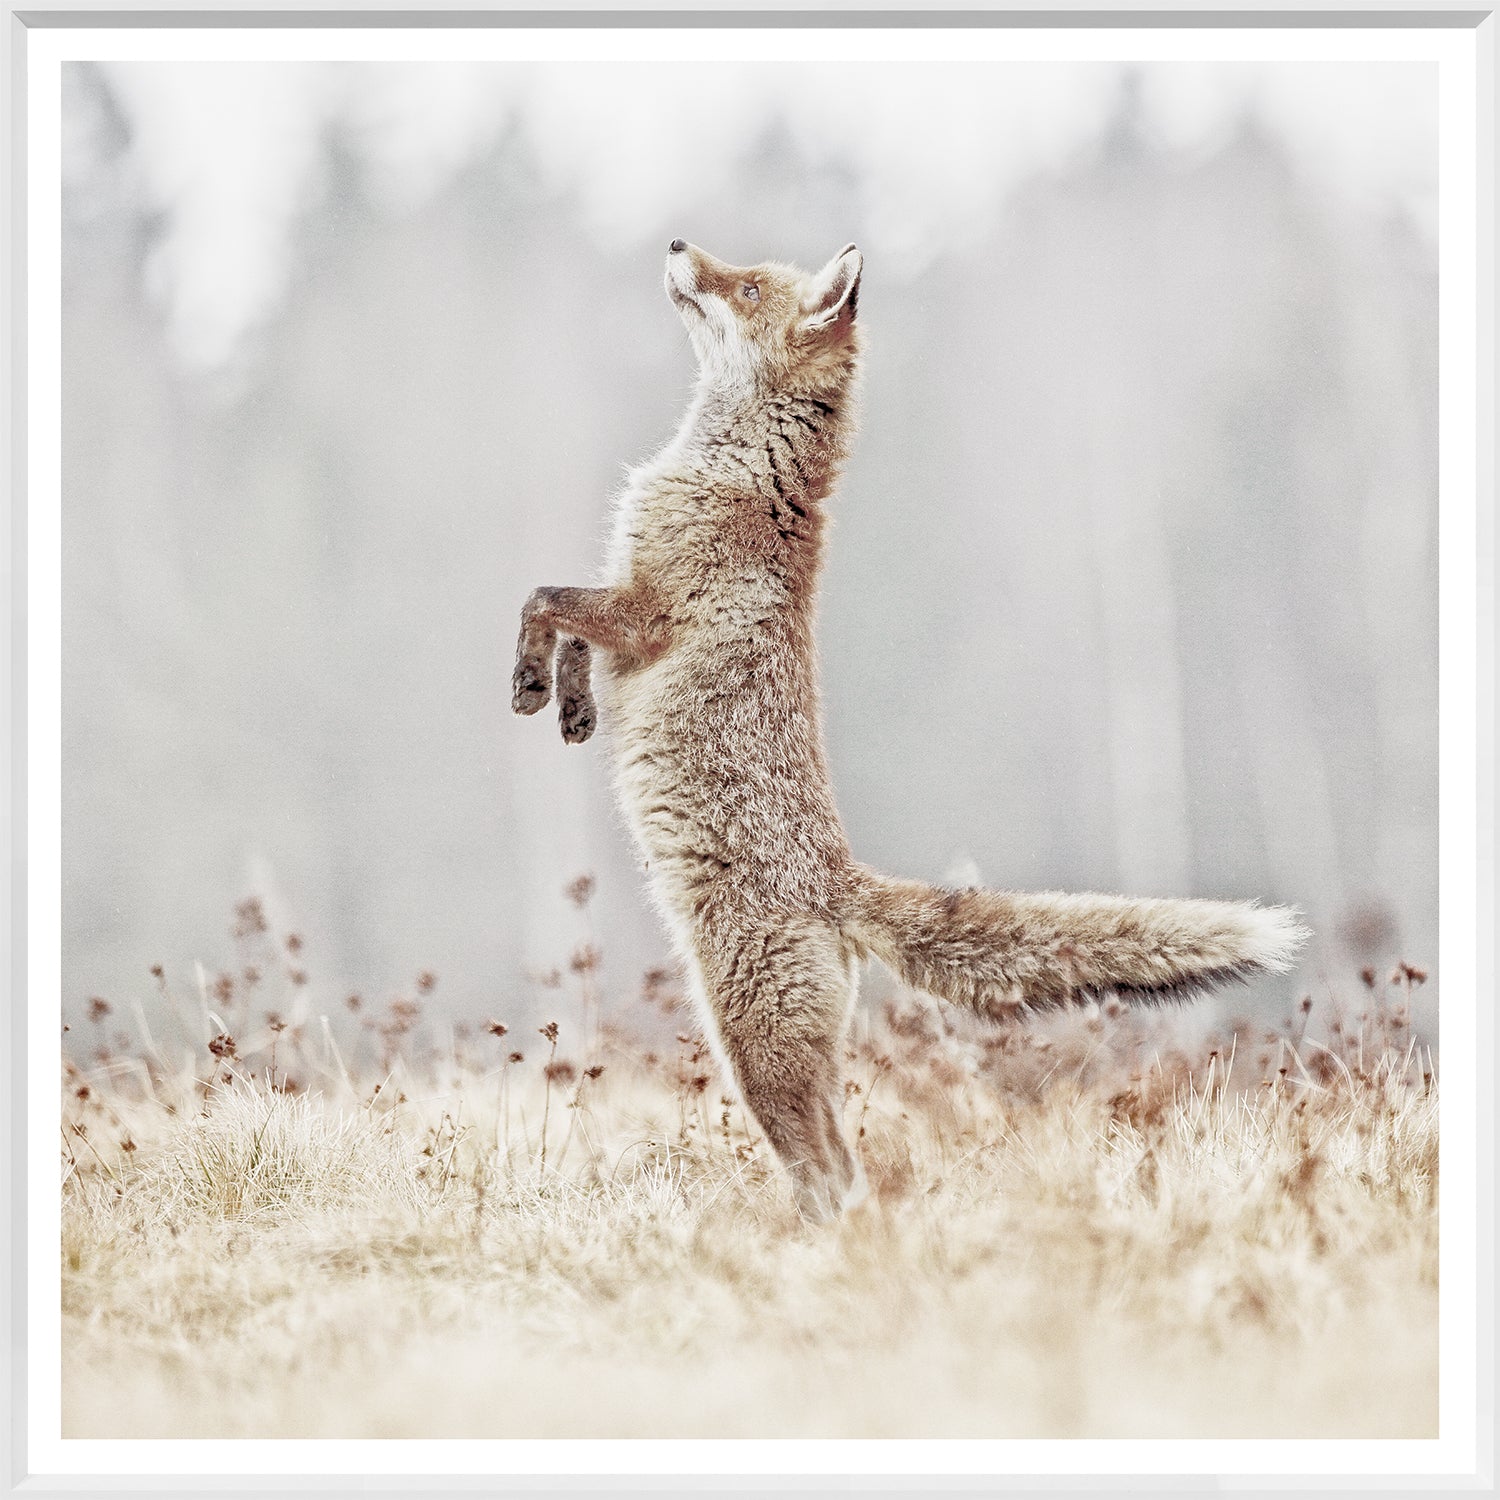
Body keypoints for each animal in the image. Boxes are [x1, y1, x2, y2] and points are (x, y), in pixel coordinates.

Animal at [512, 239, 1308, 1222]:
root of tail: (839, 881)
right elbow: (571, 631)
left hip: (752, 1049)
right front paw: (571, 705)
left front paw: (529, 680)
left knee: (832, 1172)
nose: (676, 246)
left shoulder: (647, 609)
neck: (735, 471)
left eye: (745, 285)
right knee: (841, 1167)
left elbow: (544, 599)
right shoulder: (626, 603)